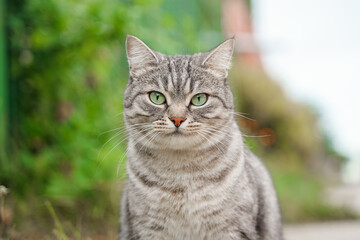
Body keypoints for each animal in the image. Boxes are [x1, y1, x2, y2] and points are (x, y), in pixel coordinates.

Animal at [119, 34, 282, 240]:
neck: (181, 175)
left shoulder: (232, 229)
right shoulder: (148, 229)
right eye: (157, 97)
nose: (177, 118)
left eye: (199, 99)